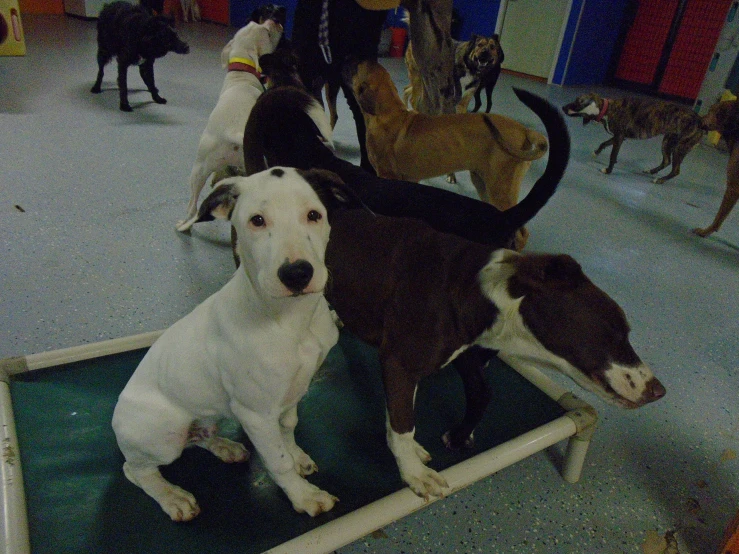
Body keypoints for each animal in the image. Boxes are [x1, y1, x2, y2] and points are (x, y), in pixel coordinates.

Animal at [114, 167, 348, 516]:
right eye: (257, 220)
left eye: (313, 215)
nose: (296, 274)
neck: (290, 320)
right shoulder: (255, 413)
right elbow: (277, 461)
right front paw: (303, 495)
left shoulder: (292, 392)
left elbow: (287, 428)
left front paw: (298, 456)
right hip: (163, 435)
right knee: (136, 470)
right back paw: (171, 496)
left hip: (202, 420)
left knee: (197, 437)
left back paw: (224, 446)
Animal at [175, 18, 284, 231]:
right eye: (267, 32)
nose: (274, 20)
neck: (241, 74)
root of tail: (231, 132)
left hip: (198, 170)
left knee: (192, 206)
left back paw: (185, 224)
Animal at [352, 59, 548, 247]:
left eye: (356, 70)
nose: (353, 60)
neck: (387, 113)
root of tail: (526, 131)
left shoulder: (387, 175)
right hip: (484, 183)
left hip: (501, 188)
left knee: (522, 234)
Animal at [564, 91, 704, 182]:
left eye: (578, 101)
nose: (563, 107)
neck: (608, 108)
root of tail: (700, 120)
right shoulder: (618, 137)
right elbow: (603, 143)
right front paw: (596, 152)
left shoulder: (619, 137)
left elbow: (612, 155)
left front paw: (608, 170)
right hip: (667, 142)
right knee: (666, 161)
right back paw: (651, 171)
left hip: (679, 148)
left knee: (676, 170)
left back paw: (660, 180)